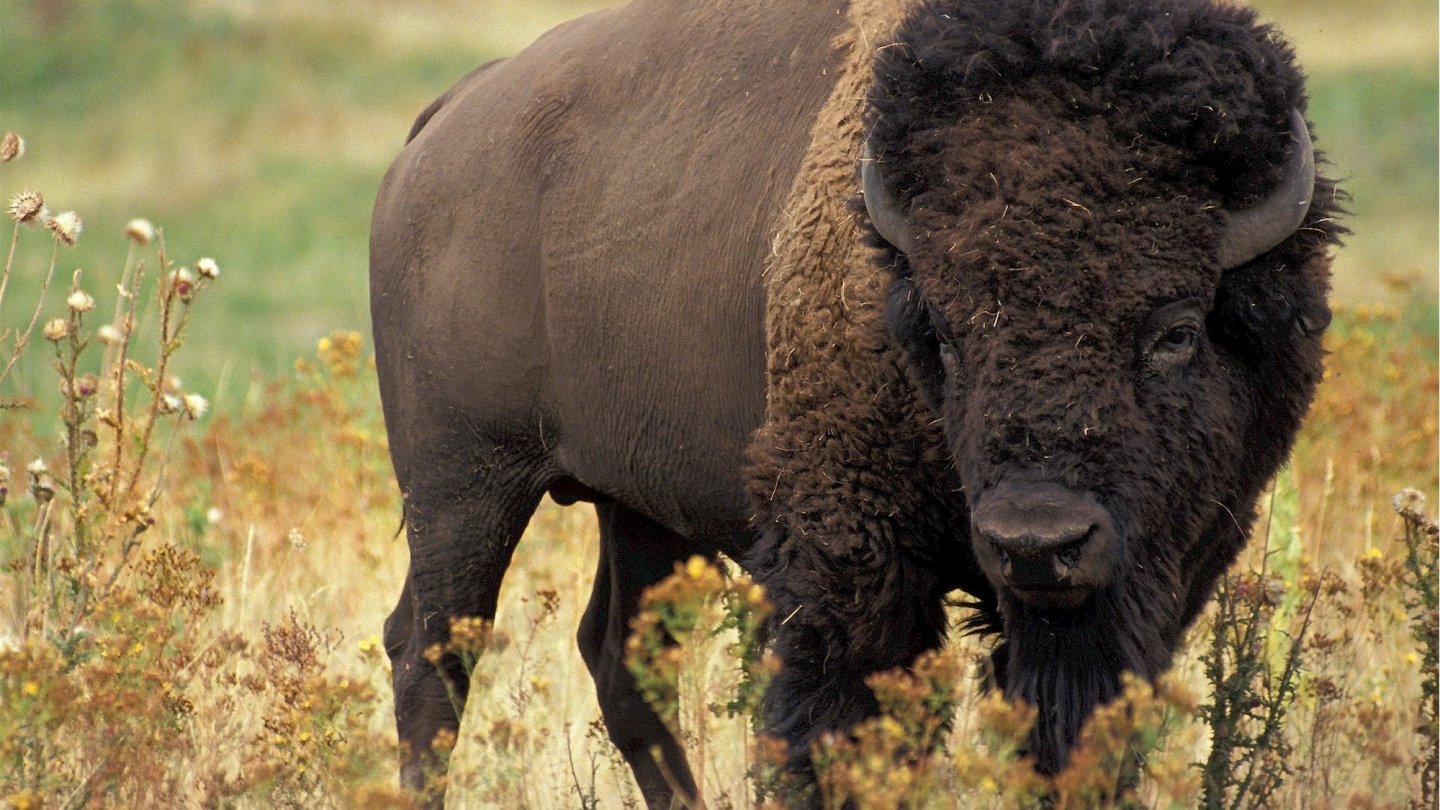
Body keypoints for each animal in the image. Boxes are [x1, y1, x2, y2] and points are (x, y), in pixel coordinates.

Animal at [368, 0, 1336, 801]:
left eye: (1177, 330)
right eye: (942, 333)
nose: (1037, 542)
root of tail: (448, 118)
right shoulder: (850, 563)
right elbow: (840, 730)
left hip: (637, 507)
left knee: (621, 662)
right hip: (465, 483)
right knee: (430, 653)